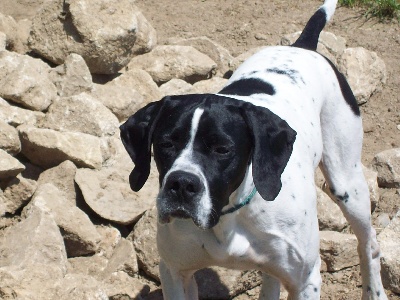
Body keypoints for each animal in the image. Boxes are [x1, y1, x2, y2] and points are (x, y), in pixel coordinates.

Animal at [119, 1, 388, 298]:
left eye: (222, 149)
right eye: (166, 143)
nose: (181, 184)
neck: (228, 214)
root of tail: (302, 46)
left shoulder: (306, 280)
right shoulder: (175, 272)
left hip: (347, 185)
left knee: (369, 244)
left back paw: (375, 290)